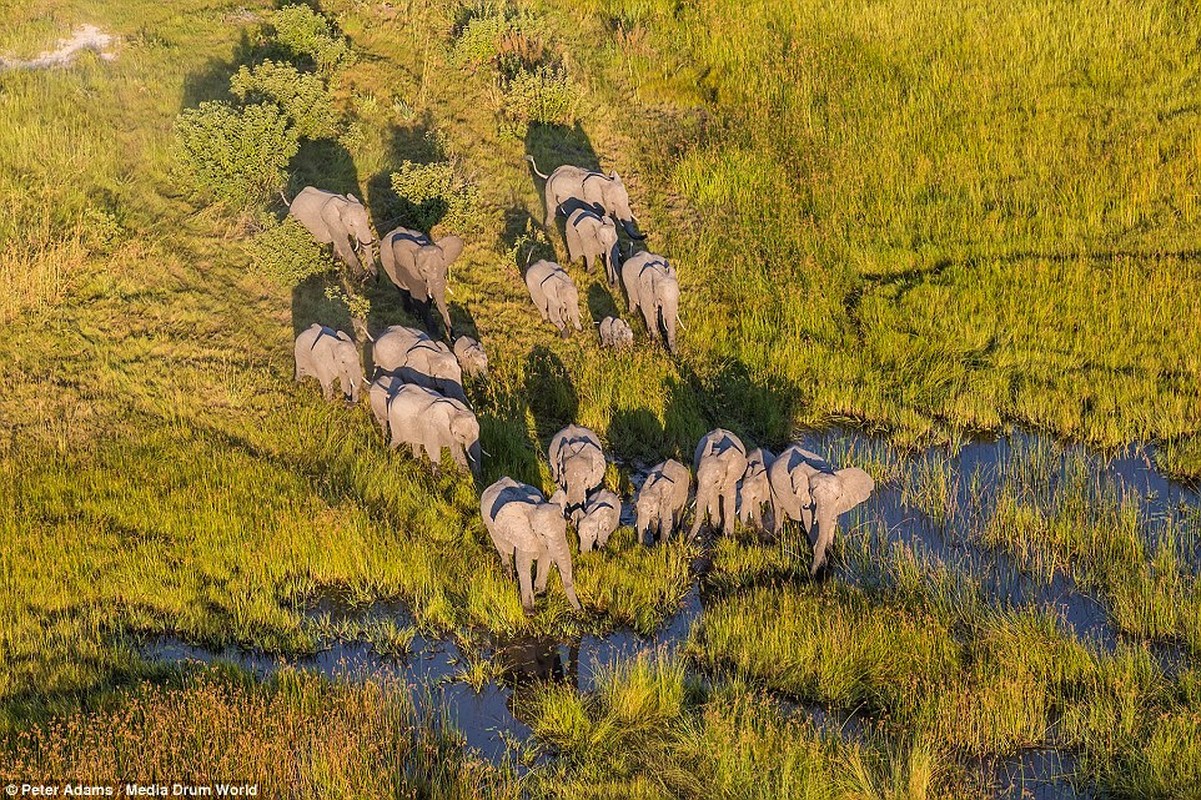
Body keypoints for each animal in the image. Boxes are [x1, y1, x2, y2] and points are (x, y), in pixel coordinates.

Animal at [482, 473, 586, 610]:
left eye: (564, 529)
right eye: (542, 534)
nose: (581, 609)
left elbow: (545, 560)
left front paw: (539, 593)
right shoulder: (524, 534)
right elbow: (523, 565)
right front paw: (529, 611)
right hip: (489, 525)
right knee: (501, 550)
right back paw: (509, 577)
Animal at [768, 442, 874, 574]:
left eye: (838, 497)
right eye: (813, 496)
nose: (810, 572)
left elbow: (831, 523)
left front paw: (829, 552)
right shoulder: (806, 500)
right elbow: (810, 526)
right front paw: (822, 563)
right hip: (771, 483)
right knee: (778, 510)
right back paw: (776, 536)